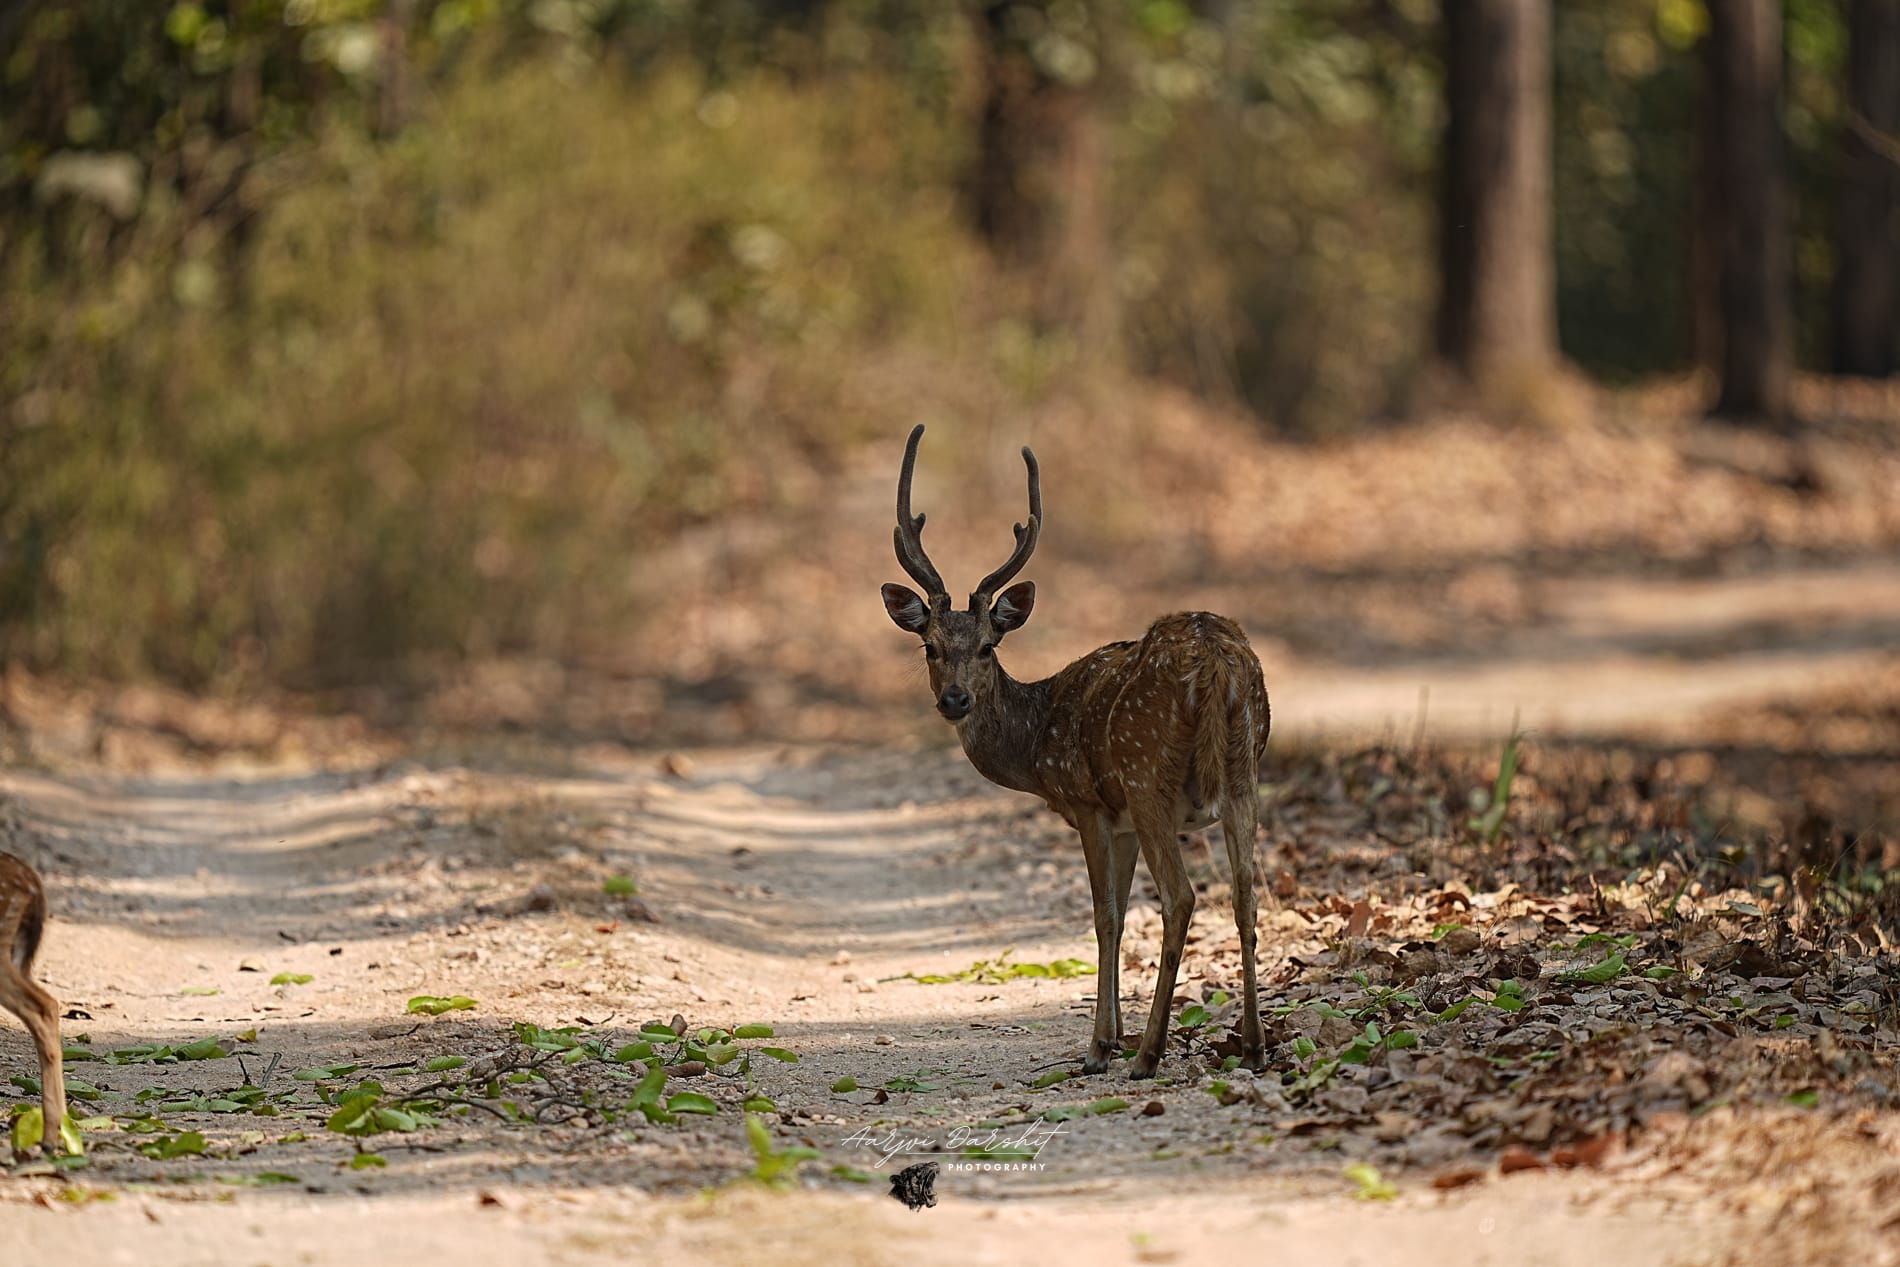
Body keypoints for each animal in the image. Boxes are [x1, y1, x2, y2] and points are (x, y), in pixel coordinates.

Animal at [879, 425, 1271, 1078]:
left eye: (987, 646)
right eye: (929, 646)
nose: (956, 700)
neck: (1038, 745)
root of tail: (1217, 656)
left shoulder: (1091, 804)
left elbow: (1104, 914)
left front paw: (1100, 1048)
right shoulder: (1123, 822)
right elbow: (1119, 912)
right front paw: (1112, 1036)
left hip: (1147, 774)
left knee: (1181, 897)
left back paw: (1149, 1055)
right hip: (1244, 774)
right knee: (1246, 896)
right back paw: (1255, 1045)